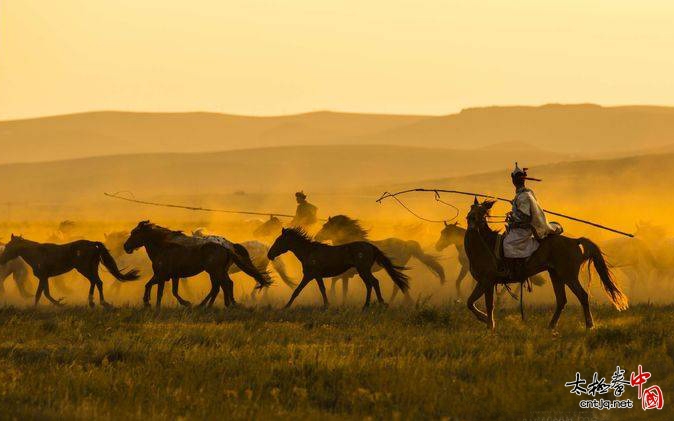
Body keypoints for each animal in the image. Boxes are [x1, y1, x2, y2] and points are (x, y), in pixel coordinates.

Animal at [314, 215, 444, 304]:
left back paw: (395, 301)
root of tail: (406, 244)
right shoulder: (346, 274)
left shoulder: (347, 273)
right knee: (400, 283)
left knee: (397, 285)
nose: (316, 237)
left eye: (325, 227)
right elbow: (338, 283)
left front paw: (336, 298)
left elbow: (340, 285)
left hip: (396, 267)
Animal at [462, 199, 624, 330]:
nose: (471, 218)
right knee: (561, 300)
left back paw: (589, 326)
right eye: (471, 207)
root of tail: (574, 241)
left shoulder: (487, 281)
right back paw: (551, 326)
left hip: (569, 276)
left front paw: (489, 324)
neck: (485, 245)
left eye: (482, 211)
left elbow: (487, 305)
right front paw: (485, 320)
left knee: (582, 296)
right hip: (556, 275)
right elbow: (470, 302)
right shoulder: (483, 282)